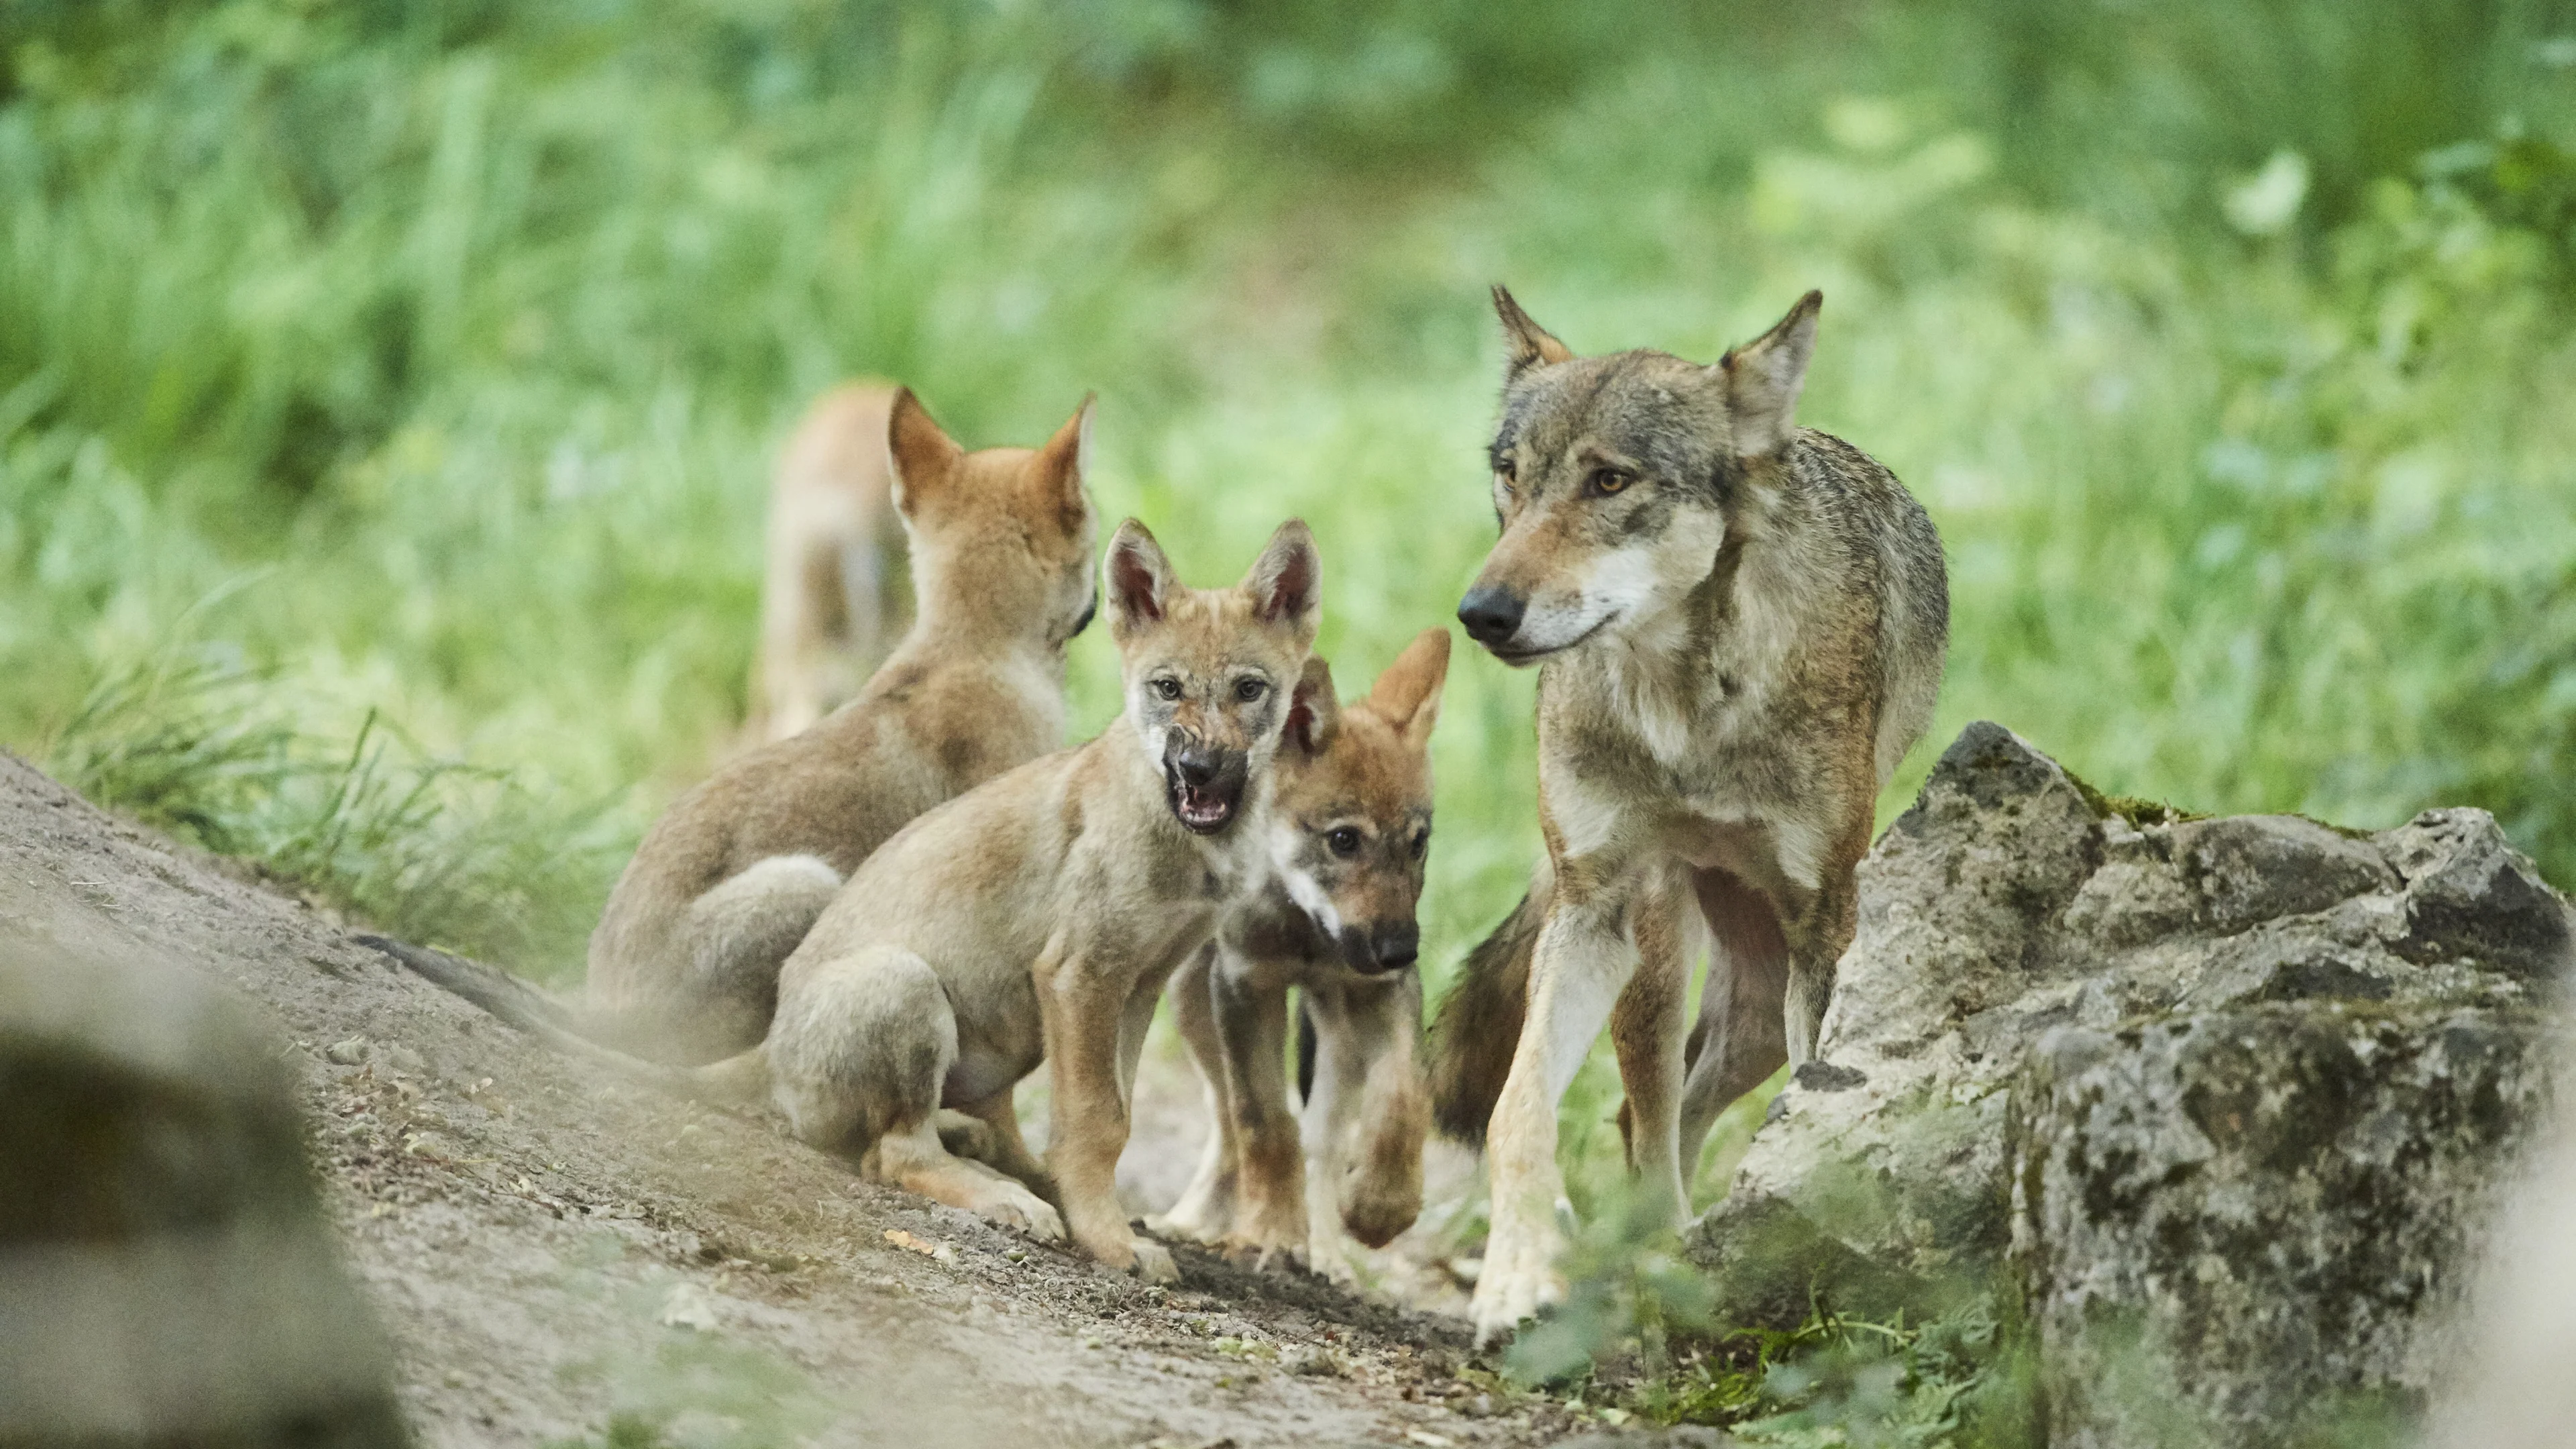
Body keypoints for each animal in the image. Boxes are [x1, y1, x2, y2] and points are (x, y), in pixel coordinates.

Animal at [1146, 628, 1450, 1277]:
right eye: (1344, 840)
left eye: (1417, 844)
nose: (1401, 948)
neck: (1306, 937)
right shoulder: (1245, 987)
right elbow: (1265, 1122)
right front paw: (1271, 1232)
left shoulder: (1380, 994)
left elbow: (1402, 1102)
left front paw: (1379, 1209)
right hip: (1196, 1006)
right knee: (1228, 1122)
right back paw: (1198, 1224)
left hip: (1336, 1034)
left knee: (1325, 1139)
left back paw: (1327, 1253)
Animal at [1430, 287, 1948, 1343]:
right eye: (1511, 475)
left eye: (1609, 481)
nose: (1483, 612)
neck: (1685, 711)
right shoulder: (1594, 910)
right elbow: (1518, 1112)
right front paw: (1512, 1281)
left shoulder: (1820, 929)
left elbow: (1805, 1128)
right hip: (1655, 961)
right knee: (1646, 1120)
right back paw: (1660, 1261)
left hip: (1769, 995)